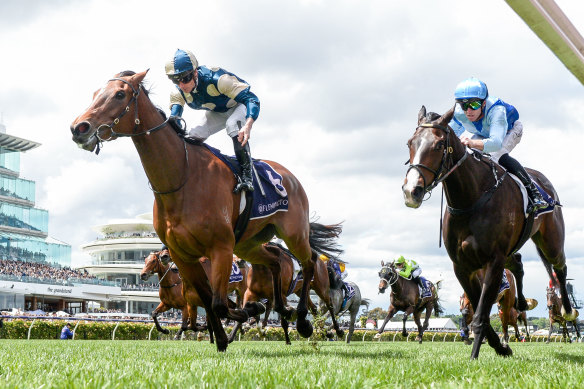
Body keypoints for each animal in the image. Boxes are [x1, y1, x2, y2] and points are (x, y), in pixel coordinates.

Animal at [69, 70, 342, 352]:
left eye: (119, 94)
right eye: (95, 93)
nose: (79, 128)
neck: (182, 177)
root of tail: (289, 176)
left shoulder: (220, 247)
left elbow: (219, 303)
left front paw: (244, 315)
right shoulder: (182, 255)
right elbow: (207, 300)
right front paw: (222, 337)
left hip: (293, 233)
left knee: (309, 262)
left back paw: (303, 319)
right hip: (248, 244)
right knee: (276, 261)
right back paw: (281, 307)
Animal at [402, 106, 580, 358]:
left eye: (438, 145)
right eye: (410, 143)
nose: (411, 191)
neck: (471, 199)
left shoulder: (493, 261)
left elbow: (481, 314)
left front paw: (477, 354)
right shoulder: (462, 266)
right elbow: (479, 310)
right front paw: (500, 346)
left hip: (551, 241)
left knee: (559, 269)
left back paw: (567, 309)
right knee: (518, 262)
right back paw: (522, 303)